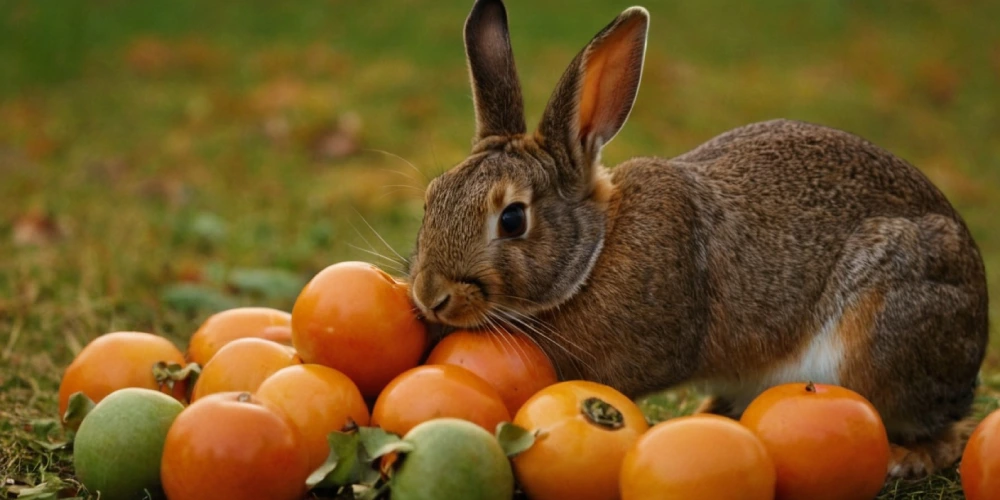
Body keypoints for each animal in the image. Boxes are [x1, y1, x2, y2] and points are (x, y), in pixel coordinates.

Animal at [402, 0, 988, 480]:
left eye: (512, 220)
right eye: (432, 197)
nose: (431, 297)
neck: (594, 254)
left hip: (885, 333)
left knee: (937, 432)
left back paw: (904, 459)